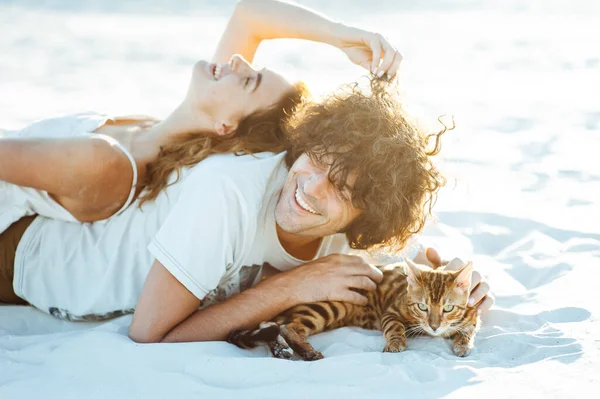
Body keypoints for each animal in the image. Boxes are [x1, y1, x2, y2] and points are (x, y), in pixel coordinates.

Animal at [227, 258, 480, 360]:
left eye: (448, 307)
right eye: (422, 306)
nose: (434, 326)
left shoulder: (472, 314)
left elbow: (468, 329)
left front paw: (462, 344)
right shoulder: (391, 311)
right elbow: (394, 327)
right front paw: (396, 343)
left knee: (271, 324)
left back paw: (283, 350)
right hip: (329, 306)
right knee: (288, 326)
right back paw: (307, 353)